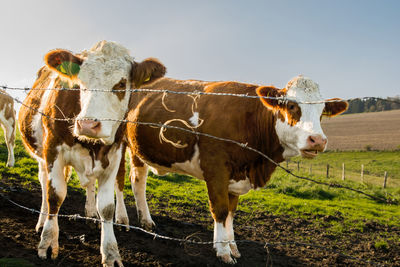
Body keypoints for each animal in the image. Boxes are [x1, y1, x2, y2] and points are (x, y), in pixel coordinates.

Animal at [18, 40, 166, 266]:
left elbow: (106, 207)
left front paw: (111, 252)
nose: (88, 124)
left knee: (92, 184)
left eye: (121, 84)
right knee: (44, 183)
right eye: (80, 81)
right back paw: (42, 221)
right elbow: (55, 195)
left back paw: (92, 213)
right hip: (41, 154)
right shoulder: (53, 149)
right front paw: (48, 242)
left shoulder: (113, 156)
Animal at [123, 75, 348, 264]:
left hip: (136, 149)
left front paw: (231, 246)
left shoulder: (236, 177)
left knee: (137, 181)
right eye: (292, 105)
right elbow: (220, 210)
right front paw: (223, 252)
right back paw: (121, 219)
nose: (318, 140)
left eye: (322, 112)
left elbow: (231, 213)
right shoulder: (216, 170)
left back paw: (145, 220)